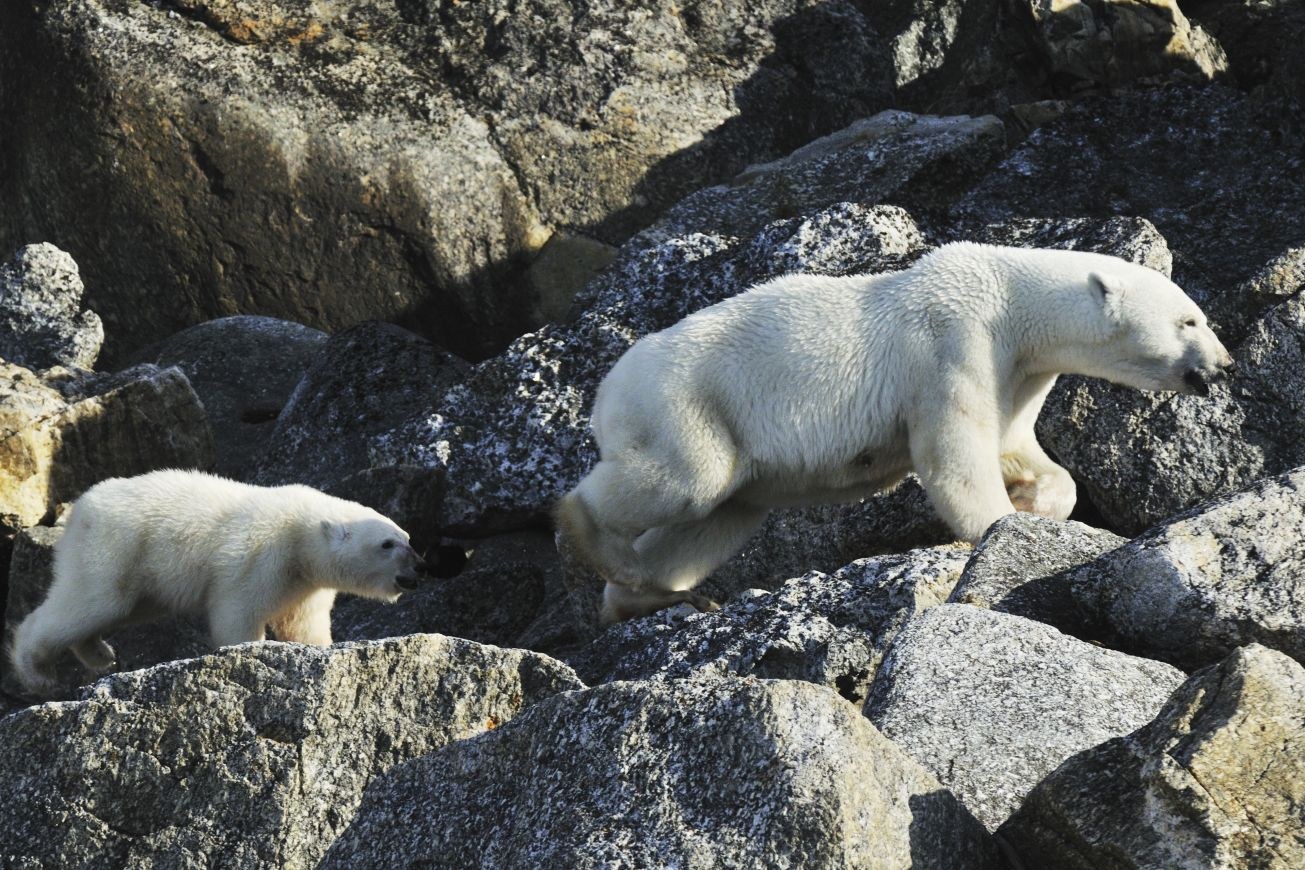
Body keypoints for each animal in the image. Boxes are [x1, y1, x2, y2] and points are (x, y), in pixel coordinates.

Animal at [10, 469, 427, 695]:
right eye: (387, 544)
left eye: (408, 538)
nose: (419, 570)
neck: (302, 534)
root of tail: (81, 507)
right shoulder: (262, 556)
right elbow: (238, 612)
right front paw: (250, 651)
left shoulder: (305, 582)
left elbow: (303, 623)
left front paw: (320, 647)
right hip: (115, 547)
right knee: (91, 601)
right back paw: (37, 673)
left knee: (119, 608)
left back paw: (99, 653)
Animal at [556, 242, 1234, 624]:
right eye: (1189, 320)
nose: (1224, 365)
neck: (1010, 299)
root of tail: (605, 391)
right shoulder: (954, 344)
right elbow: (955, 453)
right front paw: (995, 527)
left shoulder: (1020, 370)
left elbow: (1016, 446)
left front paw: (1035, 500)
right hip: (686, 403)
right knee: (686, 481)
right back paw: (596, 541)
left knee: (718, 515)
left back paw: (651, 593)